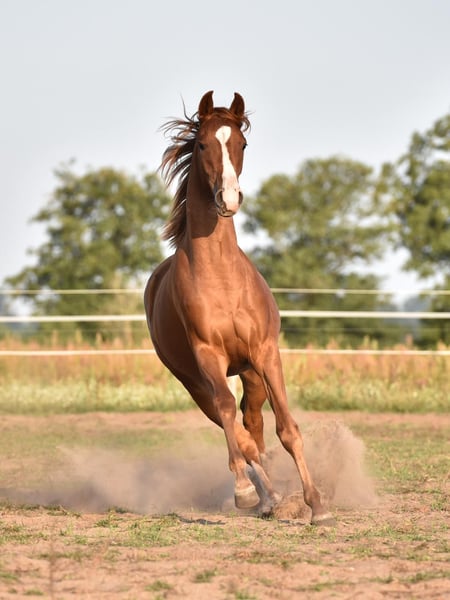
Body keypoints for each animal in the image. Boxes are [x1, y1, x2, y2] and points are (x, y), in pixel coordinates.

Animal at [144, 91, 334, 525]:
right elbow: (235, 426)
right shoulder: (208, 358)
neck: (222, 278)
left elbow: (287, 428)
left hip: (249, 373)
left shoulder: (265, 353)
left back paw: (274, 497)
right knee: (235, 427)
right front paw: (246, 492)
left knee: (253, 423)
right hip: (195, 382)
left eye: (242, 144)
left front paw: (316, 504)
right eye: (201, 145)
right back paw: (264, 497)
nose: (228, 198)